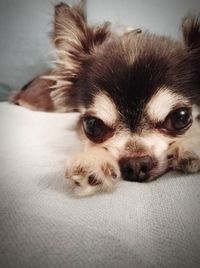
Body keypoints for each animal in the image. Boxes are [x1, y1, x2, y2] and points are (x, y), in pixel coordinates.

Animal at [12, 2, 200, 197]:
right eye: (93, 125)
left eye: (180, 118)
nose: (136, 164)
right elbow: (89, 143)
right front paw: (94, 160)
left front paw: (189, 142)